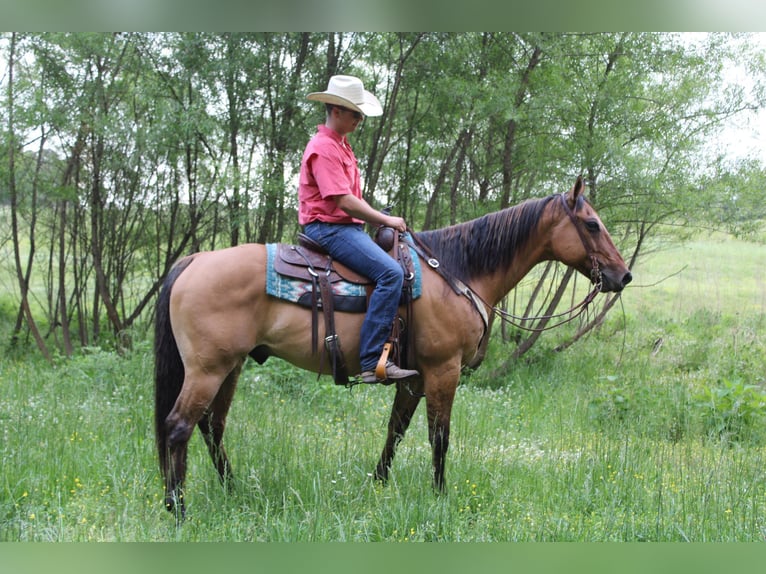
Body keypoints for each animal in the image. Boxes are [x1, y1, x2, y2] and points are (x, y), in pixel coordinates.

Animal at [153, 176, 632, 516]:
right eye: (592, 224)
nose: (622, 275)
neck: (457, 271)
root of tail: (193, 260)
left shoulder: (414, 378)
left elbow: (395, 431)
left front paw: (378, 486)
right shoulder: (443, 370)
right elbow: (439, 436)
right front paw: (440, 497)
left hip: (230, 366)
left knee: (212, 427)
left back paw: (232, 489)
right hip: (208, 368)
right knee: (178, 426)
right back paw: (179, 509)